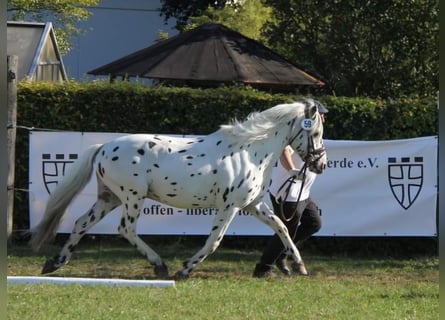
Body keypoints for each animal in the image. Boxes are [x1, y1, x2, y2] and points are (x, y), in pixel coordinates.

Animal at [28, 99, 326, 278]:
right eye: (316, 133)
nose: (321, 164)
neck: (250, 151)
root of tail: (102, 147)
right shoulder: (229, 207)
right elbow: (214, 240)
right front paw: (185, 269)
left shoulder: (255, 205)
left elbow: (282, 227)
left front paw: (299, 265)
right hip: (131, 196)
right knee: (126, 229)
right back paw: (160, 266)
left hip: (109, 197)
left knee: (81, 223)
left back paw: (55, 263)